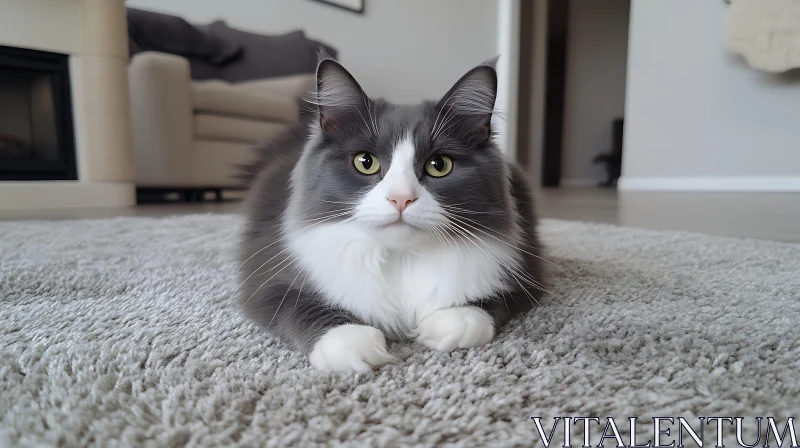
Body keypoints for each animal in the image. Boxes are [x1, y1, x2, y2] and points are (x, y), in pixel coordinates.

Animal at [238, 54, 548, 372]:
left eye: (439, 165)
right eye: (365, 162)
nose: (401, 198)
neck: (401, 258)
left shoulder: (526, 268)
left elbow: (487, 301)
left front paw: (453, 320)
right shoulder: (269, 281)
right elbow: (302, 305)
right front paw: (352, 341)